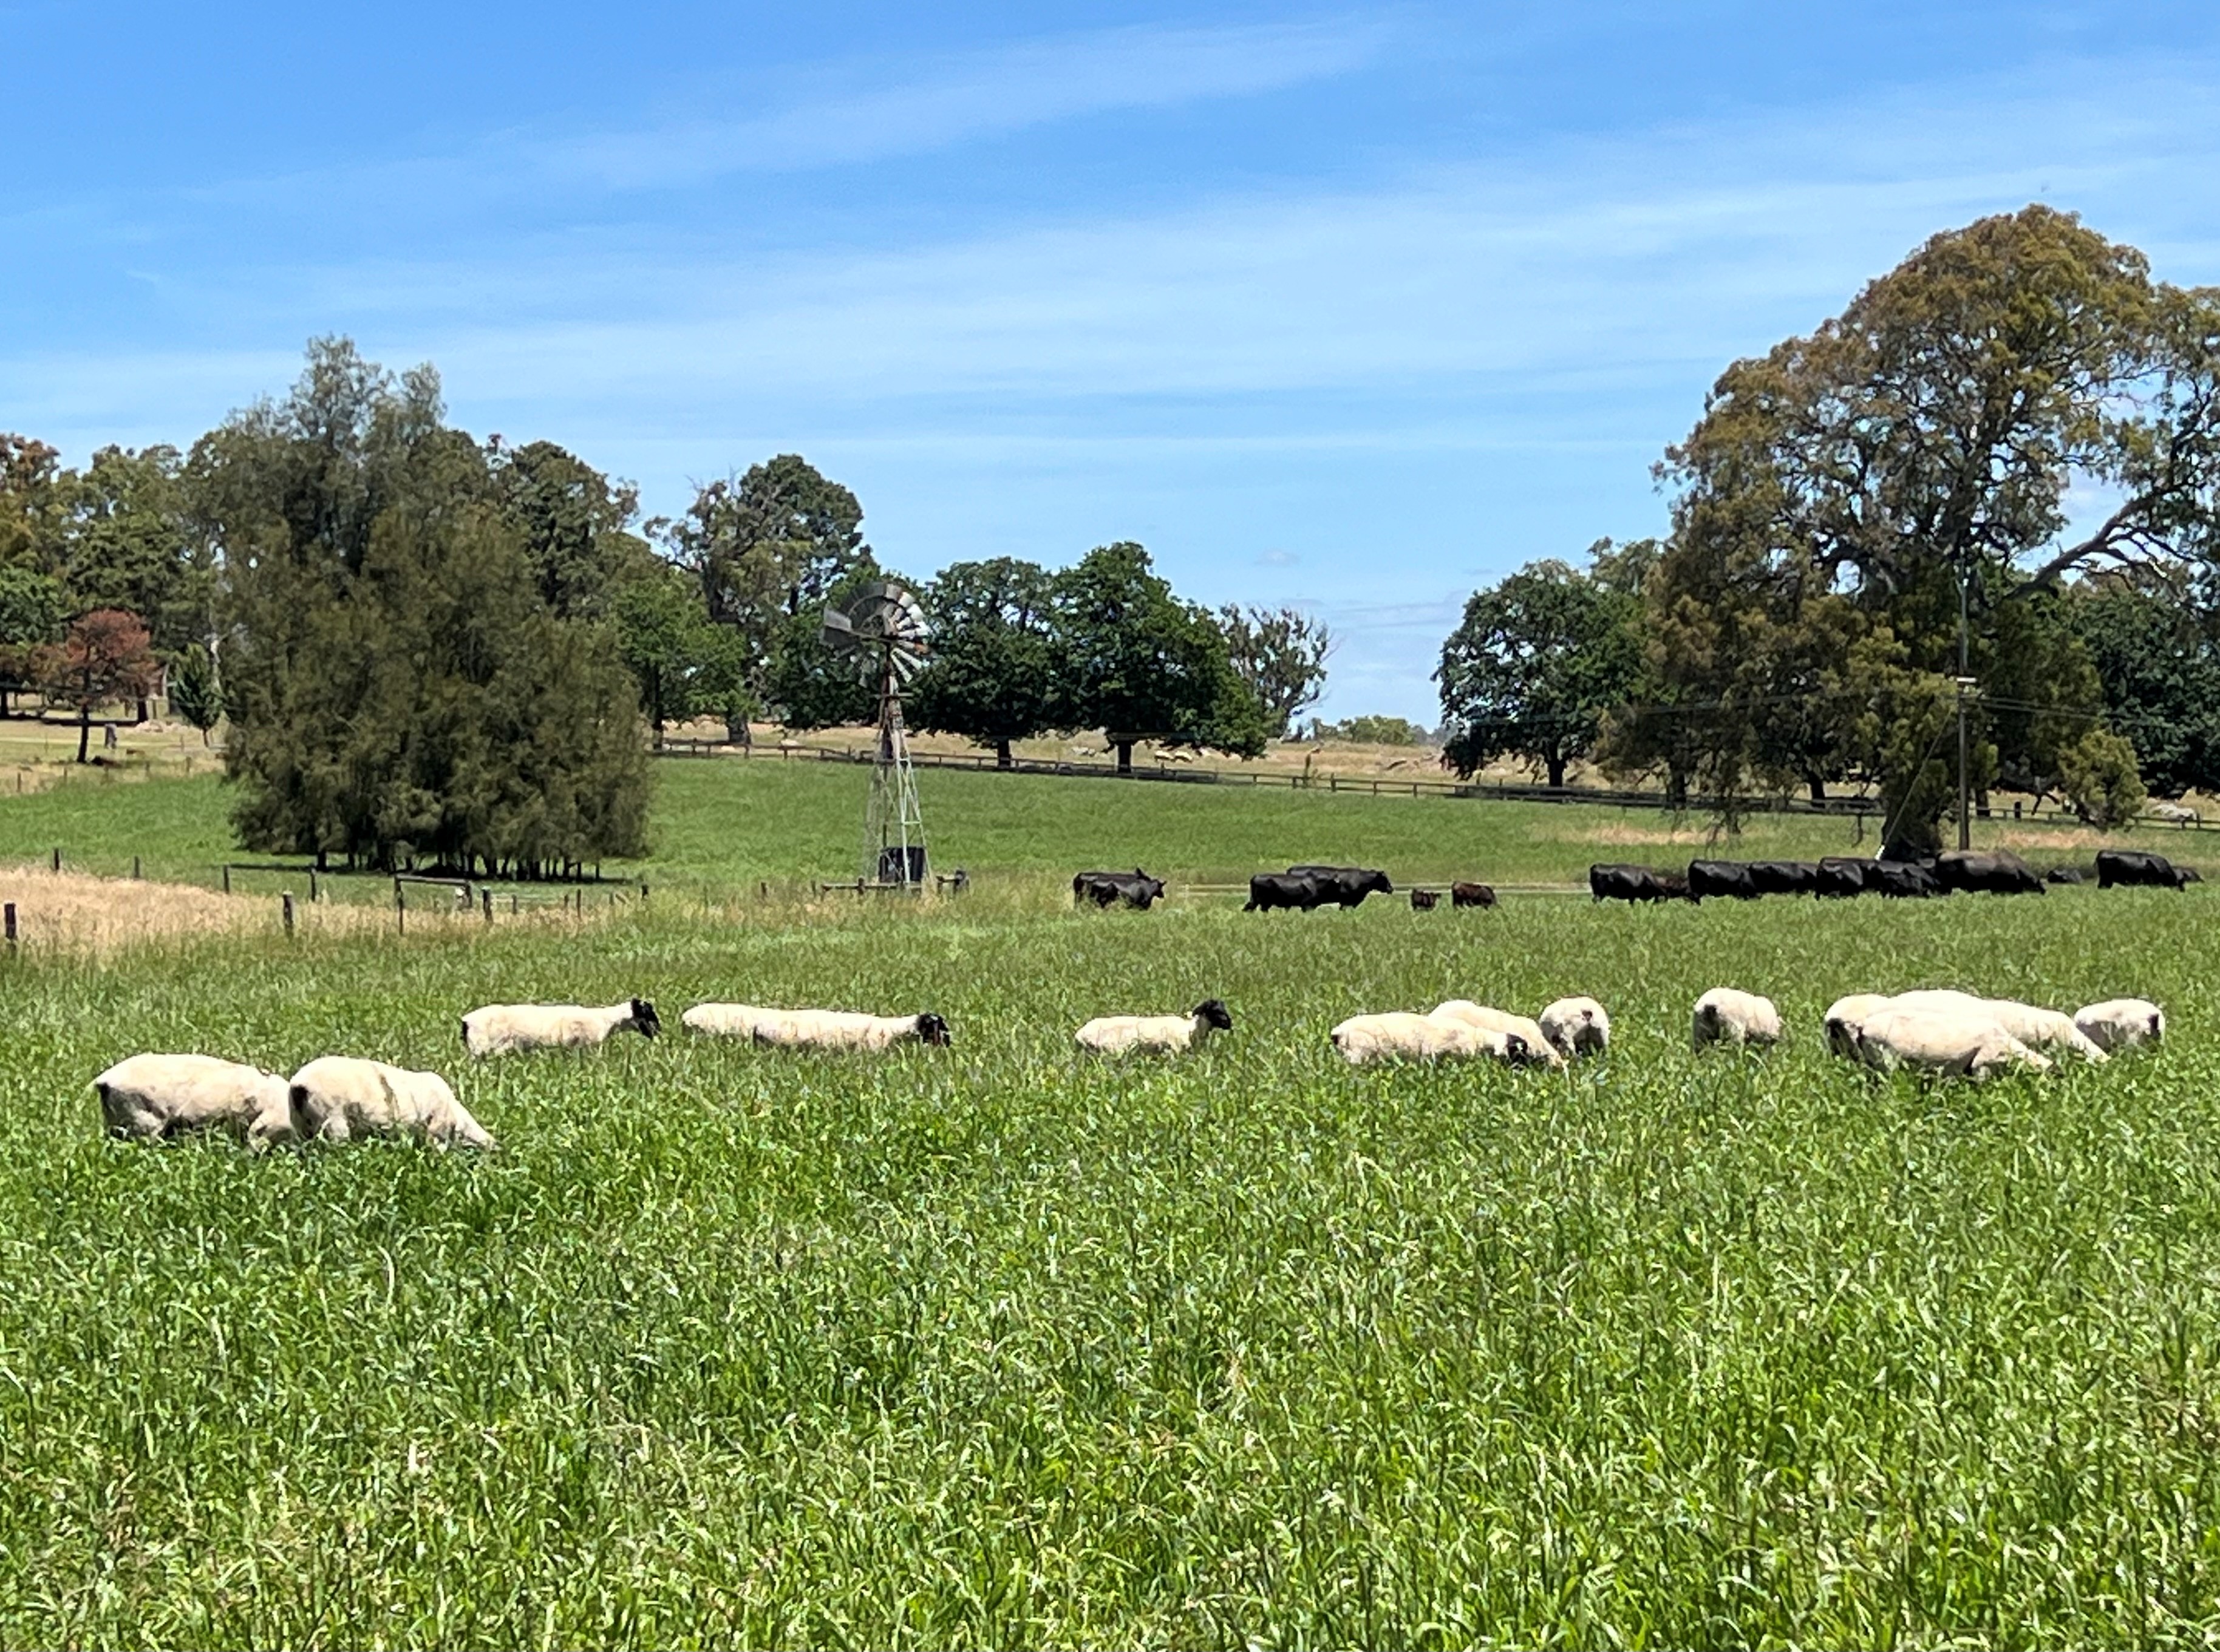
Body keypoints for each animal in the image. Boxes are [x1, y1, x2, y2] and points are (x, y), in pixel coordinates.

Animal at [460, 998, 661, 1057]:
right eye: (648, 1013)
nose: (659, 1031)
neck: (607, 1020)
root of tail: (466, 1021)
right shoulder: (586, 1046)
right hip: (481, 1048)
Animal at [1076, 999, 1234, 1054]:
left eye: (1224, 1007)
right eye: (1215, 1010)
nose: (1229, 1024)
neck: (1191, 1029)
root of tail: (1080, 1034)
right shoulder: (1175, 1051)